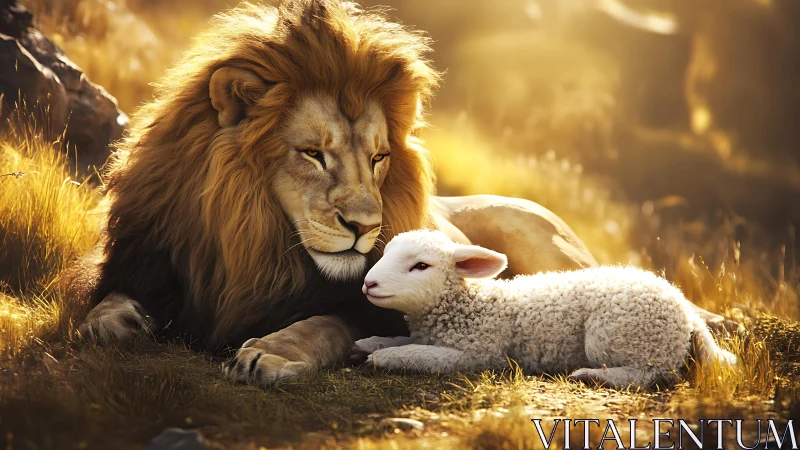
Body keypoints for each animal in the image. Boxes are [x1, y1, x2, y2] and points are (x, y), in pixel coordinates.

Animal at [354, 230, 737, 389]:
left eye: (421, 266)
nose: (368, 284)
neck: (471, 304)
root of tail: (685, 311)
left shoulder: (479, 354)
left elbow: (418, 354)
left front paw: (384, 357)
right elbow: (399, 340)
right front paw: (371, 343)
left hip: (618, 334)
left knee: (654, 374)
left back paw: (594, 376)